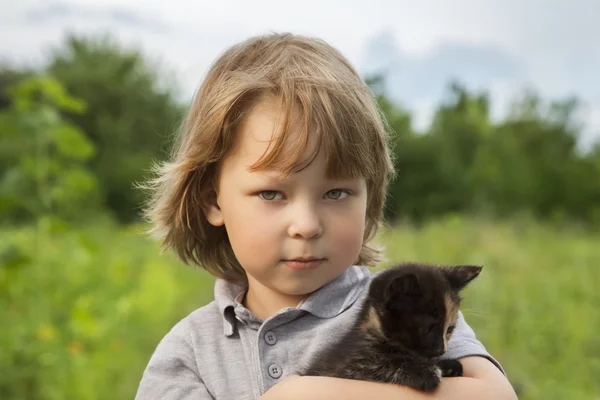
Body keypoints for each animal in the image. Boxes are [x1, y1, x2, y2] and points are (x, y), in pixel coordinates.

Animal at [302, 262, 480, 390]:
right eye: (426, 328)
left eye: (449, 329)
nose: (441, 350)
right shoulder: (344, 368)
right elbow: (375, 366)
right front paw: (424, 372)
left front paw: (448, 366)